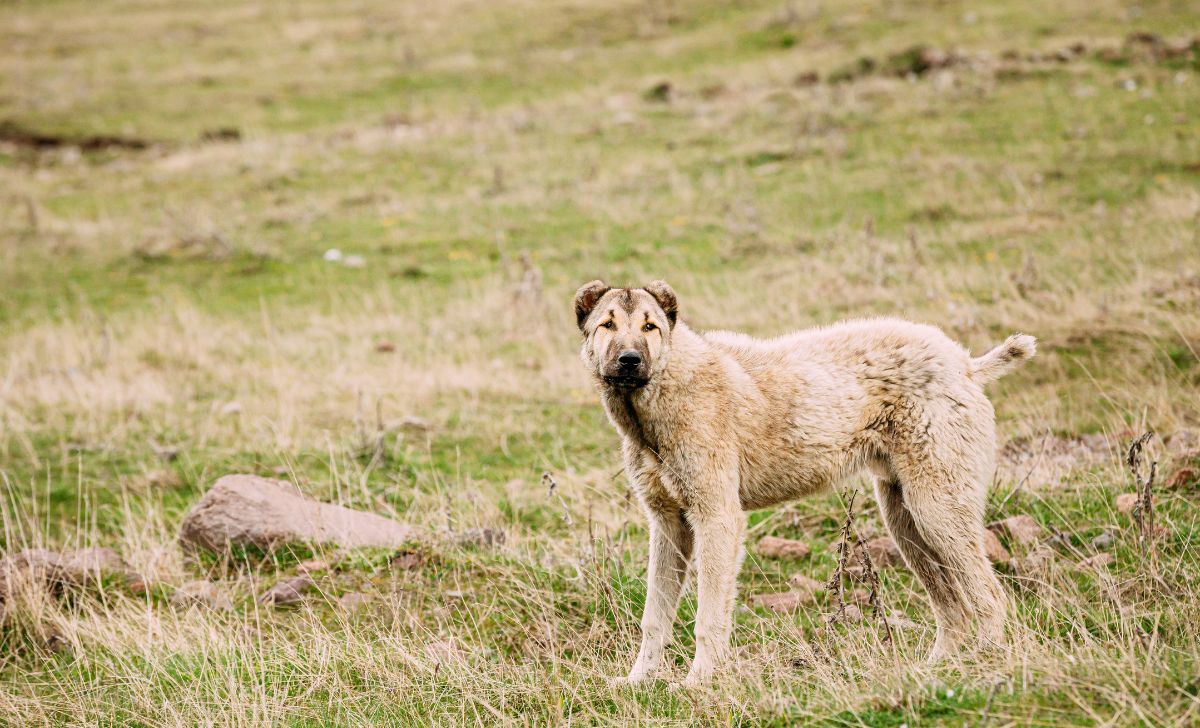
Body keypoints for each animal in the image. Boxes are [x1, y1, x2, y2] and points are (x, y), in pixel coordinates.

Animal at [576, 281, 1036, 686]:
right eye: (608, 325)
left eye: (650, 326)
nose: (630, 360)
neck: (662, 389)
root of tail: (965, 364)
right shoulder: (669, 526)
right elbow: (654, 617)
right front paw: (638, 681)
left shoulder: (718, 519)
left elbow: (708, 616)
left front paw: (698, 683)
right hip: (905, 521)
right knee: (953, 608)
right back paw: (934, 673)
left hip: (938, 510)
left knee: (990, 597)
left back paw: (985, 668)